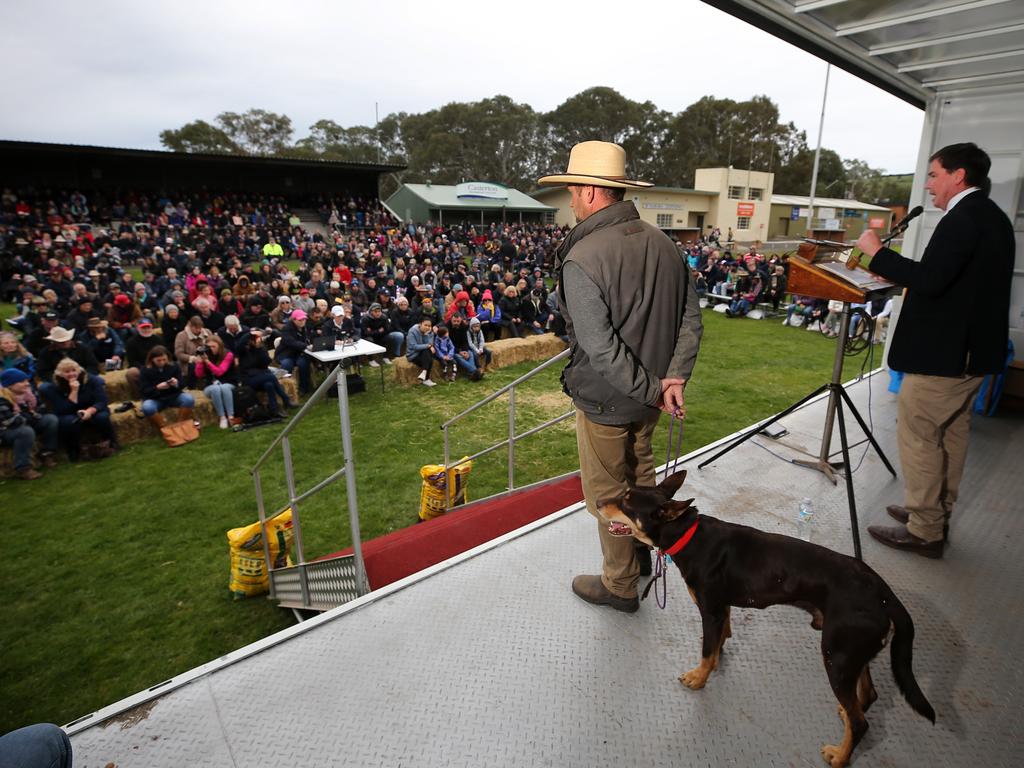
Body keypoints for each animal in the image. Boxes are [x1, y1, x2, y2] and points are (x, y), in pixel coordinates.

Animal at [598, 473, 933, 765]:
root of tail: (884, 593)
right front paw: (716, 664)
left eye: (626, 503)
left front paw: (698, 678)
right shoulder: (723, 608)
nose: (599, 502)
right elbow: (719, 642)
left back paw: (839, 757)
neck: (687, 534)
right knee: (867, 698)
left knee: (861, 722)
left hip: (836, 656)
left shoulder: (711, 610)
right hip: (852, 654)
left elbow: (706, 650)